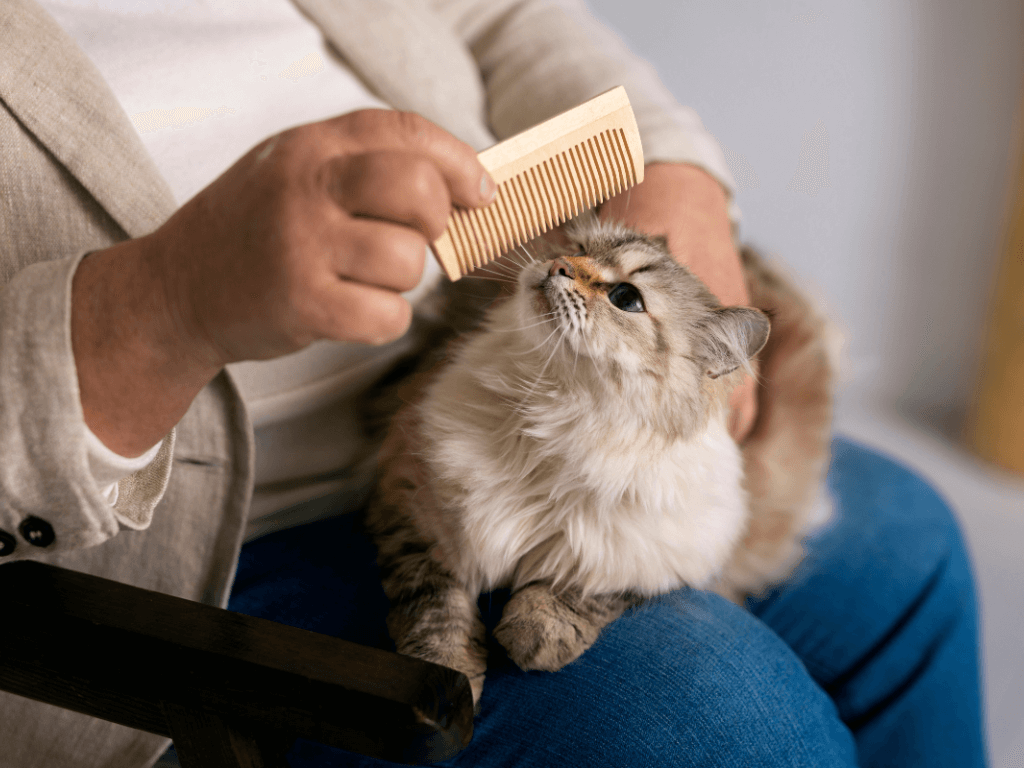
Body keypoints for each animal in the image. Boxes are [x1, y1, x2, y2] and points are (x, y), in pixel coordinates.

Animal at [364, 214, 835, 708]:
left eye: (626, 298)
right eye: (578, 248)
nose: (558, 265)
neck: (553, 418)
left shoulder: (666, 555)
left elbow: (587, 588)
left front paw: (535, 636)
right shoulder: (412, 500)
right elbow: (437, 613)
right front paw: (448, 687)